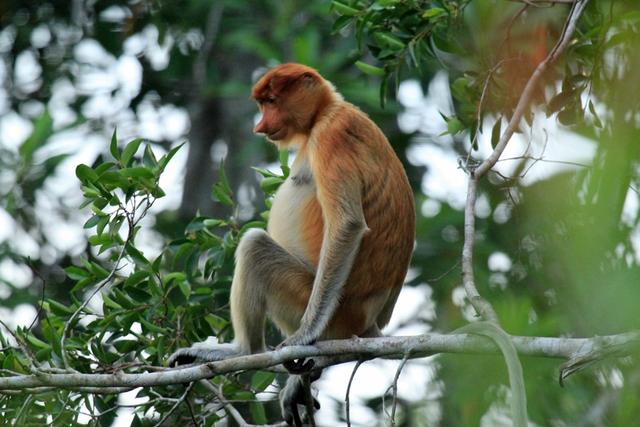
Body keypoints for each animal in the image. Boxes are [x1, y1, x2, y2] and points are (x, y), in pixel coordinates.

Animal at [169, 62, 416, 424]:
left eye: (271, 101)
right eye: (262, 104)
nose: (259, 126)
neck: (324, 111)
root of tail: (369, 323)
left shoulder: (331, 135)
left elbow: (348, 224)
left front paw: (305, 335)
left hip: (322, 306)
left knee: (254, 246)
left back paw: (244, 351)